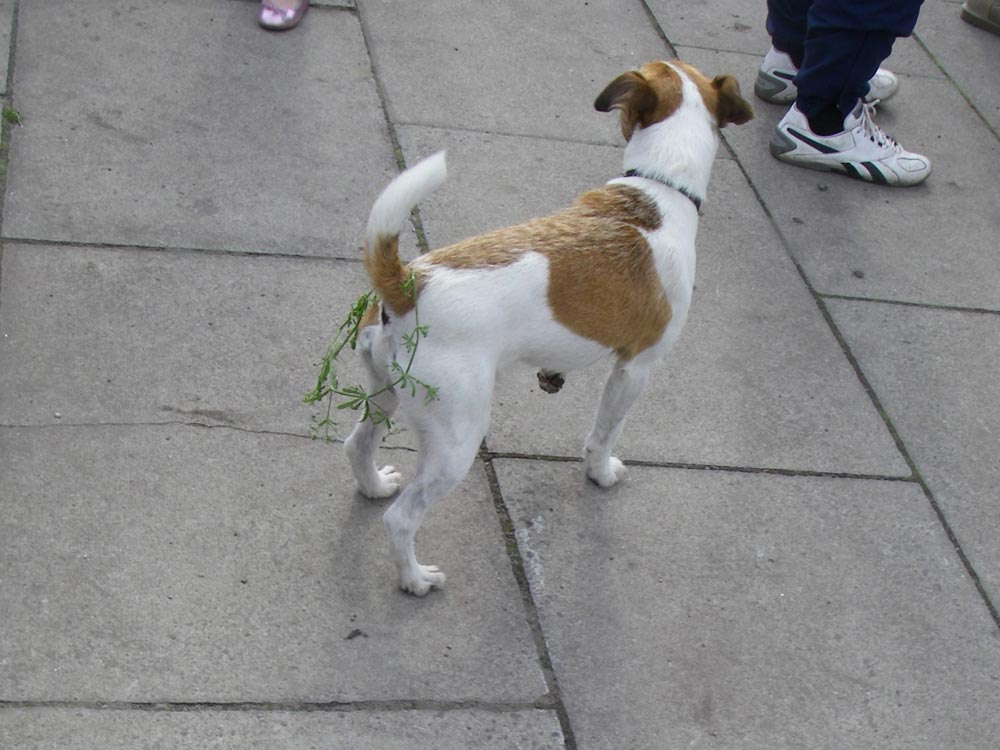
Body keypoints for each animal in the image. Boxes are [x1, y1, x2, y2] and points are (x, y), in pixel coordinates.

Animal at [344, 61, 752, 596]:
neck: (661, 188)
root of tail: (410, 282)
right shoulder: (635, 369)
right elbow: (604, 433)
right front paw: (600, 473)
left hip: (385, 391)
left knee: (357, 445)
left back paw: (374, 486)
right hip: (456, 440)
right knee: (401, 518)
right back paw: (415, 578)